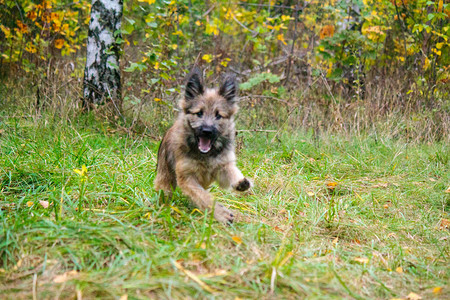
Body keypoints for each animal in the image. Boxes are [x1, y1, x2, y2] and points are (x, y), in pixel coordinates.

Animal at [155, 68, 251, 223]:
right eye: (199, 113)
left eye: (218, 115)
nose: (207, 131)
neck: (206, 155)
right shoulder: (186, 178)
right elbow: (205, 198)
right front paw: (221, 214)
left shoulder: (222, 167)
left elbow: (231, 172)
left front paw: (240, 182)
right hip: (166, 177)